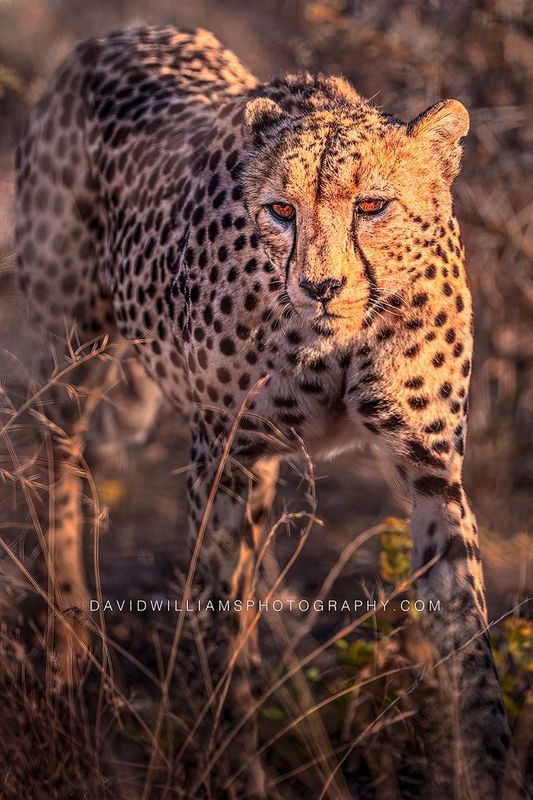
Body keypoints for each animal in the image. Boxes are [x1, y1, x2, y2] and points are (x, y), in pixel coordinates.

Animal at [14, 24, 525, 799]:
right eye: (281, 211)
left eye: (372, 206)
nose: (320, 285)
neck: (342, 336)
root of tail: (119, 33)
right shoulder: (222, 452)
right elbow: (216, 623)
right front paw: (231, 764)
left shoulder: (429, 468)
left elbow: (466, 643)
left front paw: (488, 769)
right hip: (71, 360)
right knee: (60, 475)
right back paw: (67, 645)